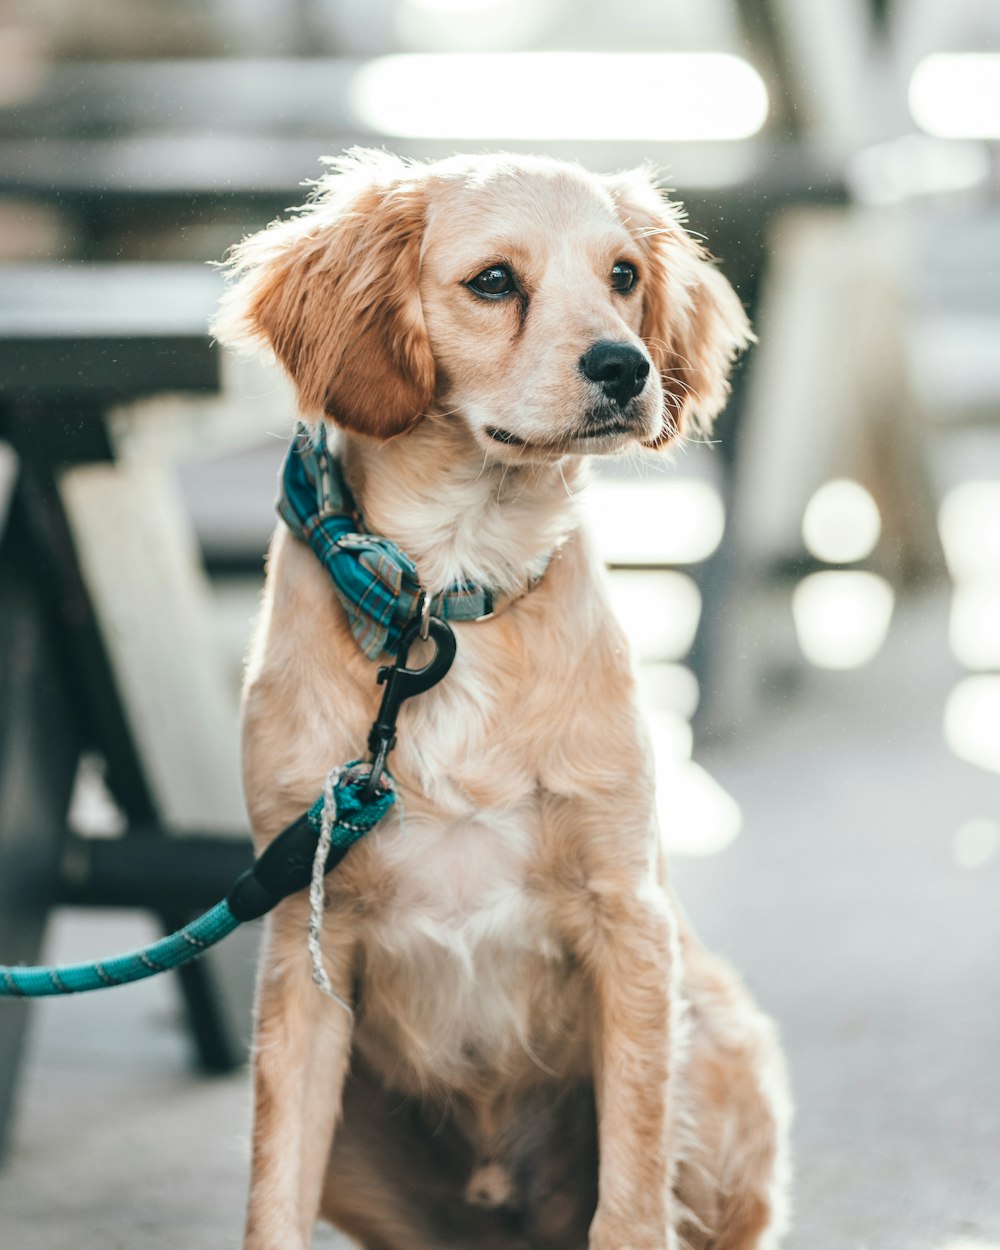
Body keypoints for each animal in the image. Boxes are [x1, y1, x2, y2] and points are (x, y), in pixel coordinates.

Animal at [215, 148, 795, 1250]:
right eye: (493, 281)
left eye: (622, 276)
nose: (626, 367)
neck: (452, 590)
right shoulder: (305, 941)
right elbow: (269, 1195)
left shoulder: (628, 922)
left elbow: (631, 1199)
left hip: (720, 1044)